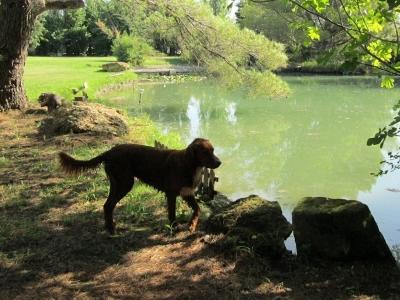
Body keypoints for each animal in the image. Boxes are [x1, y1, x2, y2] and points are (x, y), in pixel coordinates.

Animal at [58, 138, 222, 234]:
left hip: (117, 183)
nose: (219, 162)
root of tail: (109, 152)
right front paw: (174, 229)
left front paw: (192, 225)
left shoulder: (186, 193)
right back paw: (112, 229)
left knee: (107, 205)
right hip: (125, 183)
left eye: (213, 150)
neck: (189, 165)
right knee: (109, 205)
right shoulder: (171, 194)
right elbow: (172, 214)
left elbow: (197, 209)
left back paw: (110, 227)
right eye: (205, 152)